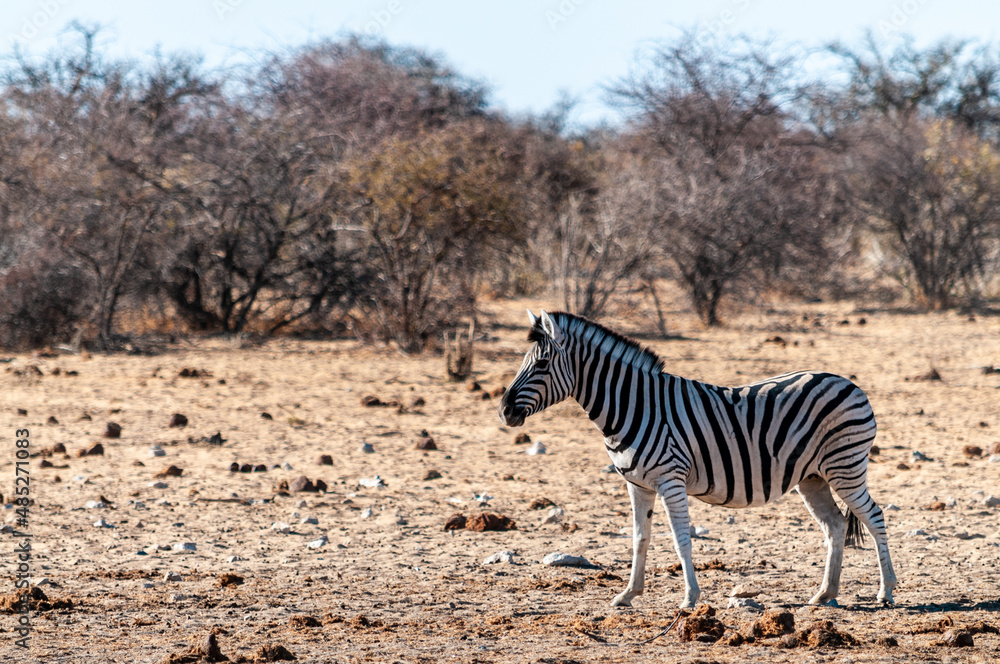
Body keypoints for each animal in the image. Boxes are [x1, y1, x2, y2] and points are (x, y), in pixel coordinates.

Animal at [498, 309, 896, 609]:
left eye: (542, 364)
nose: (504, 411)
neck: (632, 406)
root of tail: (849, 383)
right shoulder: (637, 485)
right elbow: (640, 537)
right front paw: (628, 594)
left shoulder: (670, 479)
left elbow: (680, 540)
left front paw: (690, 598)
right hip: (813, 477)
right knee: (835, 526)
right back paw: (824, 594)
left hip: (845, 467)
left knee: (874, 517)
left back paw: (886, 591)